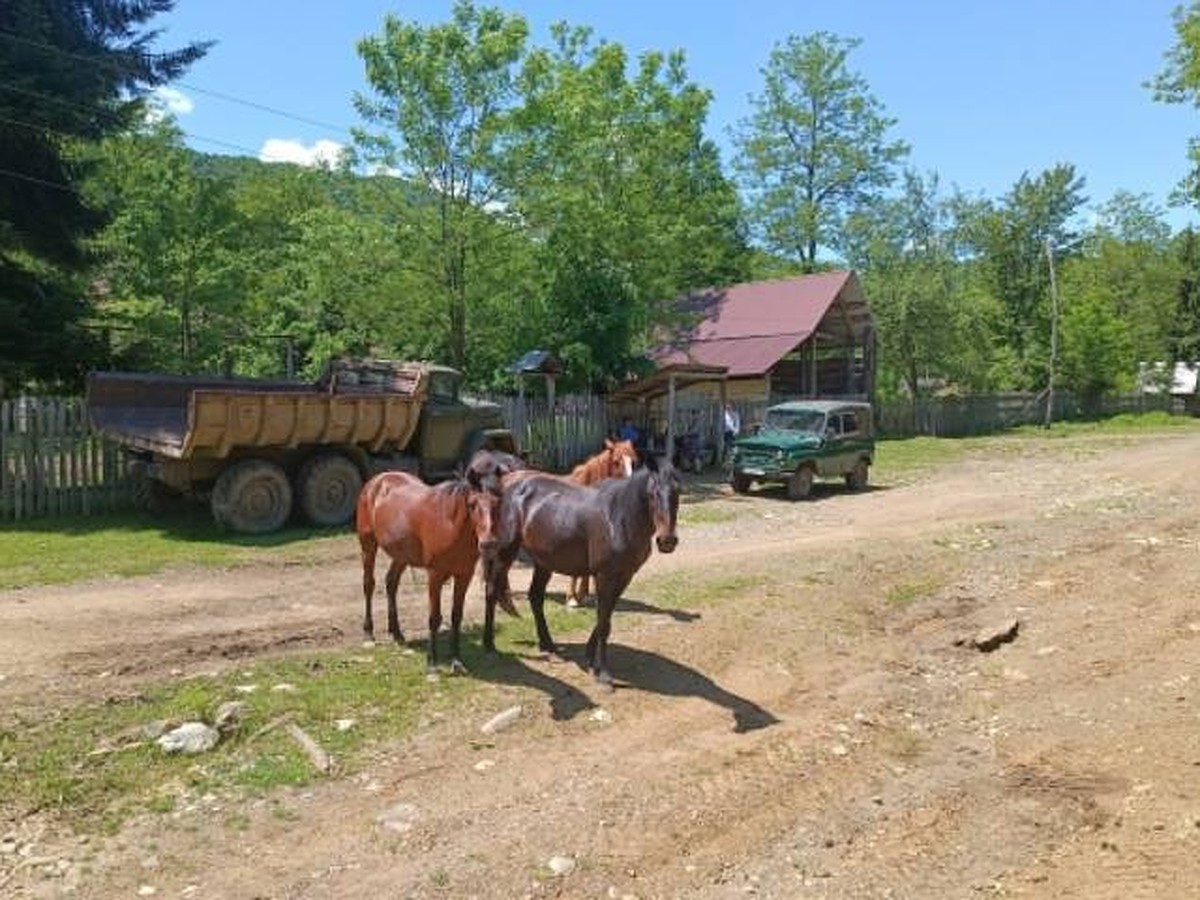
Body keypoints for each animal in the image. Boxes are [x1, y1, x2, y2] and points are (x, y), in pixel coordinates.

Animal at [357, 472, 504, 676]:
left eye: (497, 503)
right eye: (472, 504)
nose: (489, 543)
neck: (450, 525)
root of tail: (377, 480)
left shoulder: (464, 576)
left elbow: (456, 616)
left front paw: (456, 661)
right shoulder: (435, 576)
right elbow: (434, 618)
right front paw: (432, 665)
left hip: (402, 555)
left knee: (391, 583)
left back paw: (397, 632)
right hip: (368, 545)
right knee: (369, 584)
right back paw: (368, 633)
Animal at [482, 453, 681, 686]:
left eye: (678, 491)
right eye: (652, 493)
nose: (667, 541)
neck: (619, 517)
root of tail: (509, 482)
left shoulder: (625, 576)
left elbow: (606, 617)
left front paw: (590, 655)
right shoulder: (604, 576)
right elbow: (603, 622)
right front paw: (603, 674)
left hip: (544, 561)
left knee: (535, 597)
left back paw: (547, 644)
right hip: (506, 552)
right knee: (492, 591)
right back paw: (489, 644)